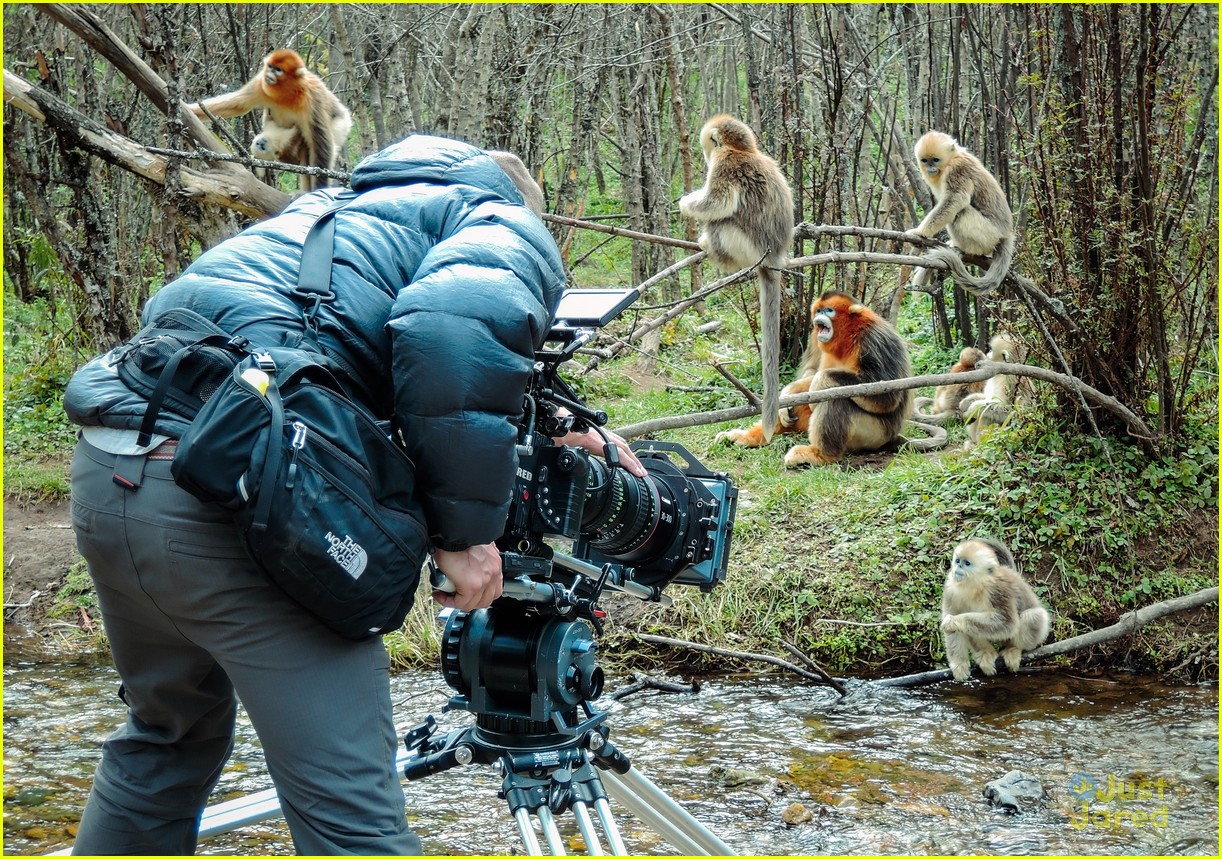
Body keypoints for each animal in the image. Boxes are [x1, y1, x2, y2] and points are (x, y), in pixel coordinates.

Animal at [189, 49, 352, 191]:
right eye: (270, 67)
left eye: (278, 69)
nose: (269, 72)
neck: (286, 93)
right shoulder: (261, 83)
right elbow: (238, 104)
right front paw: (187, 108)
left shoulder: (312, 98)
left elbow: (320, 145)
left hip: (341, 125)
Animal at [679, 115, 793, 441]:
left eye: (709, 147)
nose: (704, 153)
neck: (745, 150)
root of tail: (773, 258)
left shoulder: (724, 163)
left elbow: (716, 202)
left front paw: (686, 204)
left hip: (742, 245)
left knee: (719, 220)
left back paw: (710, 246)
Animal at [716, 292, 912, 468]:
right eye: (818, 310)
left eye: (829, 310)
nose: (818, 317)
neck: (848, 337)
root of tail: (891, 437)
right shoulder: (816, 338)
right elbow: (810, 374)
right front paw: (788, 392)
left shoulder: (876, 341)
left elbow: (887, 397)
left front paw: (820, 381)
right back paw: (752, 436)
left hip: (874, 434)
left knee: (836, 400)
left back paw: (821, 455)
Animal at [907, 131, 1014, 295]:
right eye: (925, 160)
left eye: (935, 160)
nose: (930, 167)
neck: (952, 159)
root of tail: (1005, 235)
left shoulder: (957, 169)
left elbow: (955, 200)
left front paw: (919, 233)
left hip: (989, 235)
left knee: (961, 212)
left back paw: (964, 248)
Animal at [941, 538, 1050, 680]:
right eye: (958, 561)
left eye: (967, 563)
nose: (958, 567)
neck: (978, 585)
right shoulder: (950, 589)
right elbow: (953, 628)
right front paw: (959, 664)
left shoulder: (998, 589)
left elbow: (1007, 623)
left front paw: (954, 621)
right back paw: (985, 652)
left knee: (1032, 615)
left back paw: (1013, 649)